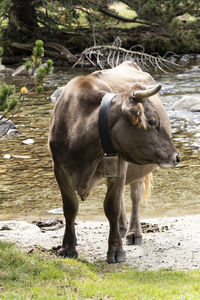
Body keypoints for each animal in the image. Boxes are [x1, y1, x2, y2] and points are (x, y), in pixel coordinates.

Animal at [48, 61, 180, 262]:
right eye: (152, 122)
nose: (176, 156)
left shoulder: (119, 168)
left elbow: (111, 208)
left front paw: (116, 251)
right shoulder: (59, 170)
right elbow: (70, 208)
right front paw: (68, 248)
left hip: (139, 170)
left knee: (134, 196)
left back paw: (133, 232)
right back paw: (122, 227)